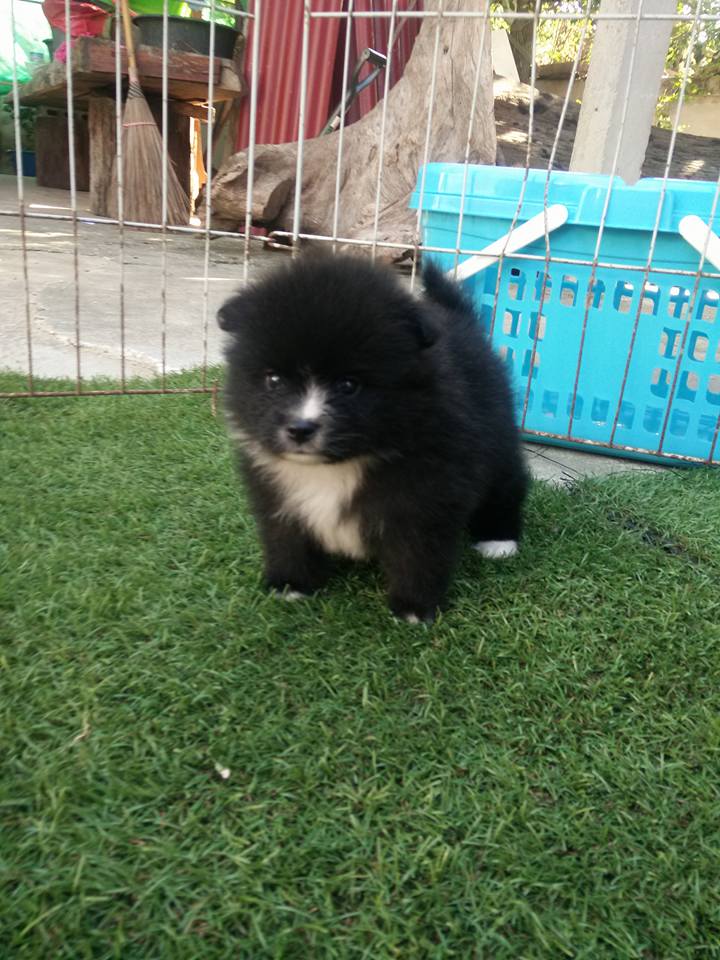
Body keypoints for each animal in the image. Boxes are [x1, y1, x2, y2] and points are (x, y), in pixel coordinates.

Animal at [218, 254, 528, 623]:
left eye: (348, 385)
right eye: (274, 380)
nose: (300, 428)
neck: (338, 465)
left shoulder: (426, 494)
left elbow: (417, 552)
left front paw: (414, 607)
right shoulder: (277, 492)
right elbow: (286, 537)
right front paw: (291, 585)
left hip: (498, 438)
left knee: (506, 484)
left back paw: (498, 540)